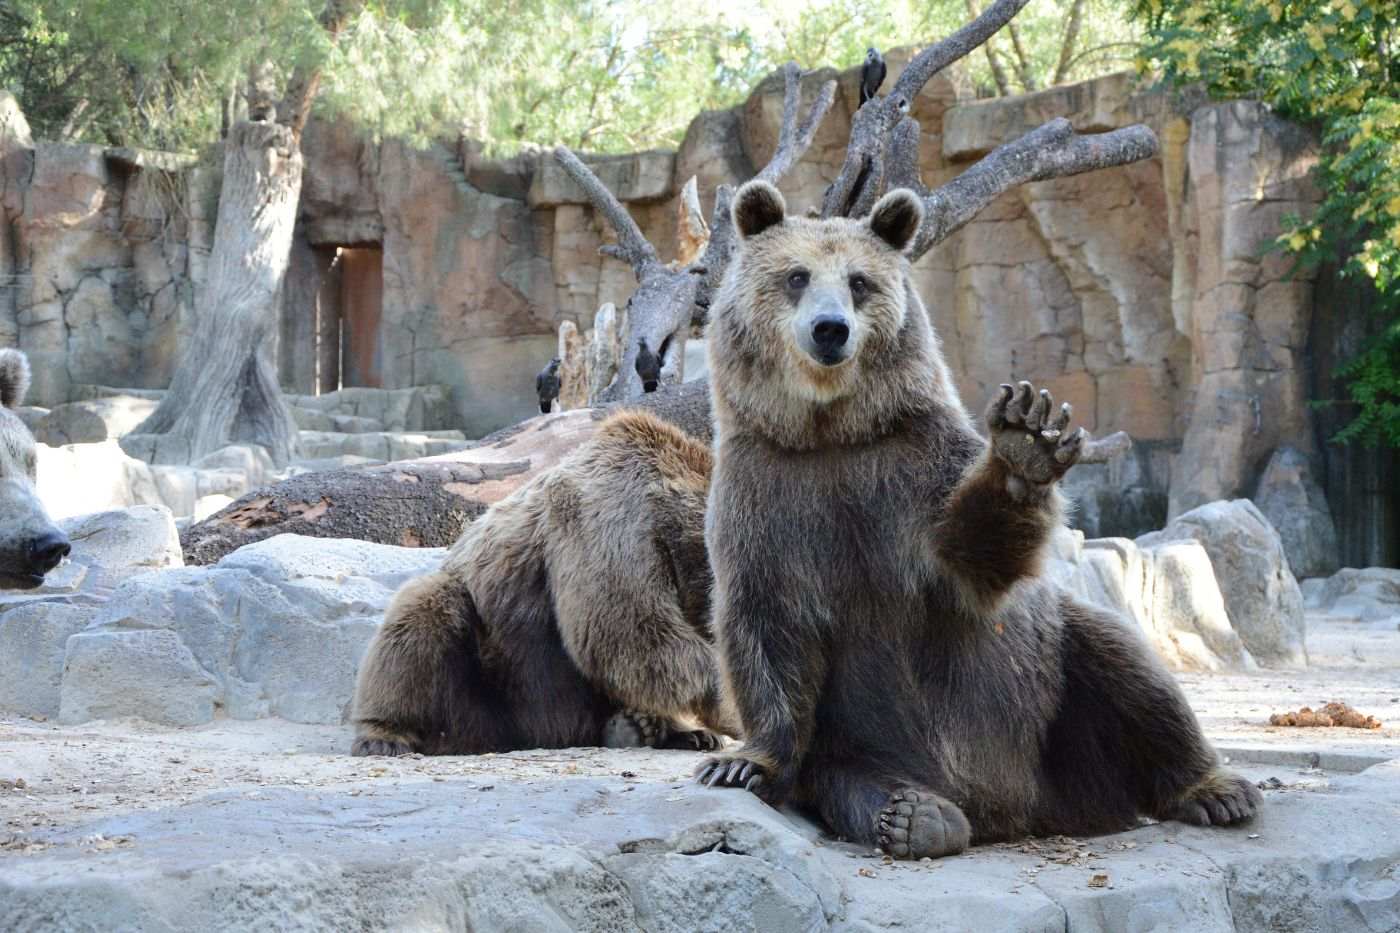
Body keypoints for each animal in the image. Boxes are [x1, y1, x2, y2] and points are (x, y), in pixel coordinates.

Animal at [350, 411, 744, 756]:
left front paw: (698, 727)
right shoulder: (613, 521)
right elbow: (627, 630)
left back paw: (655, 729)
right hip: (492, 683)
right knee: (422, 615)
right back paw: (385, 736)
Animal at [694, 179, 1265, 857]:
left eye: (860, 281)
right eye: (796, 276)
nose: (830, 329)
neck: (830, 432)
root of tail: (1018, 810)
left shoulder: (912, 471)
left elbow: (972, 558)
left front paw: (1026, 440)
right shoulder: (768, 494)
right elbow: (765, 622)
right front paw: (740, 763)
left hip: (1054, 700)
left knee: (1129, 672)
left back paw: (1217, 790)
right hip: (859, 742)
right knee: (853, 779)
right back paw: (916, 815)